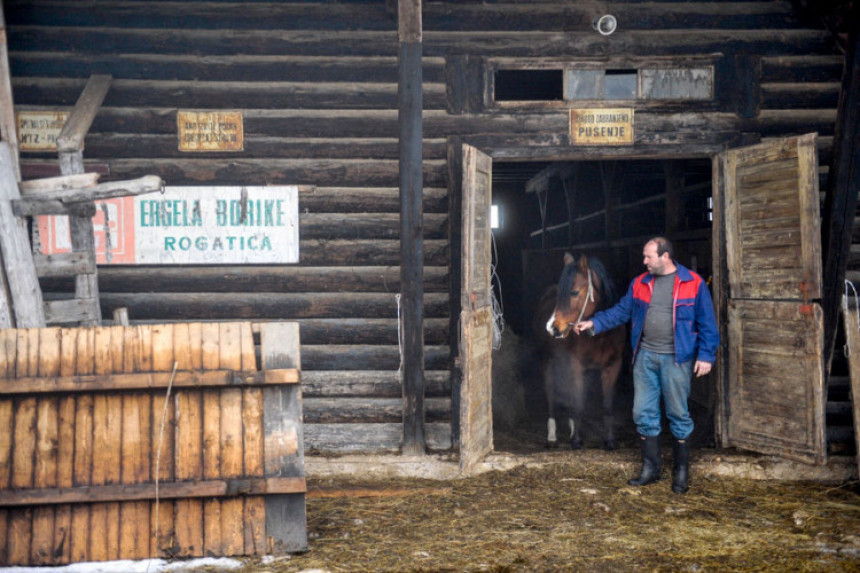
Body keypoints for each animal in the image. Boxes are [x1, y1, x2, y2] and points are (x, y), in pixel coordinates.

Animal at [536, 252, 620, 450]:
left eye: (574, 292)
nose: (552, 328)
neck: (599, 334)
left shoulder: (612, 366)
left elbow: (607, 405)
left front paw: (609, 440)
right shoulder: (577, 366)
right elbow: (578, 403)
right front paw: (576, 440)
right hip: (547, 362)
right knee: (551, 396)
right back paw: (552, 437)